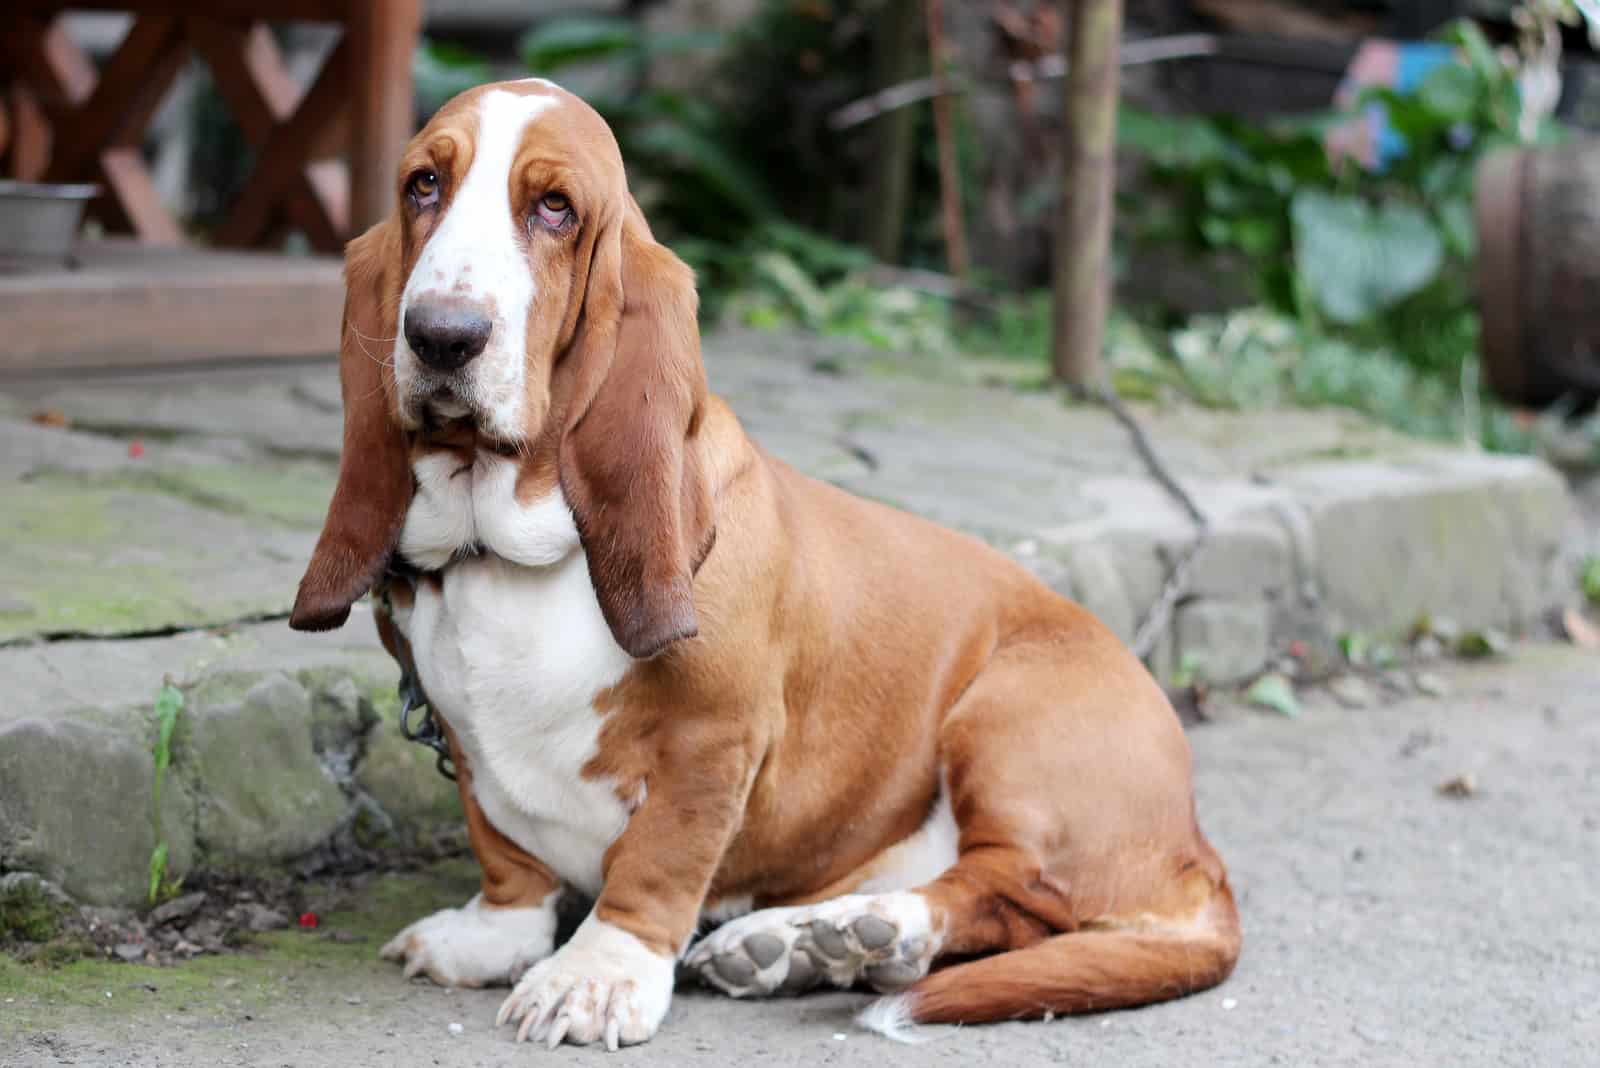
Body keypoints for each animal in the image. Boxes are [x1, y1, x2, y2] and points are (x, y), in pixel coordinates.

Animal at [291, 81, 1235, 1048]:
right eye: (423, 184)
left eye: (555, 208)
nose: (441, 337)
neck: (507, 552)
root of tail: (1195, 857)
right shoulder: (460, 737)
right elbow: (504, 851)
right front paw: (489, 935)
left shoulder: (715, 741)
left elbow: (658, 862)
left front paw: (597, 978)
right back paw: (797, 946)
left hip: (1006, 723)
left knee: (1014, 894)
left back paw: (857, 934)